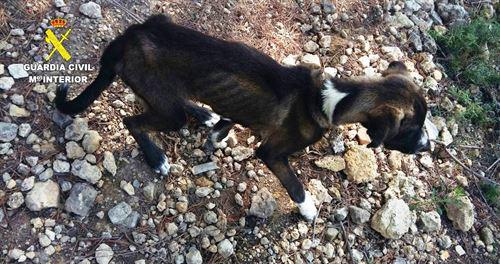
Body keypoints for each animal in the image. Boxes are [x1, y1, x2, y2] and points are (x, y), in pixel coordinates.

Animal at [55, 14, 430, 221]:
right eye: (411, 129)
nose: (427, 146)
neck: (331, 99)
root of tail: (126, 38)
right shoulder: (272, 153)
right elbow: (295, 185)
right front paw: (309, 210)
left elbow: (232, 118)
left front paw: (217, 131)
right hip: (167, 110)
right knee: (134, 122)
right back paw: (157, 157)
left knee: (175, 101)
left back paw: (204, 113)